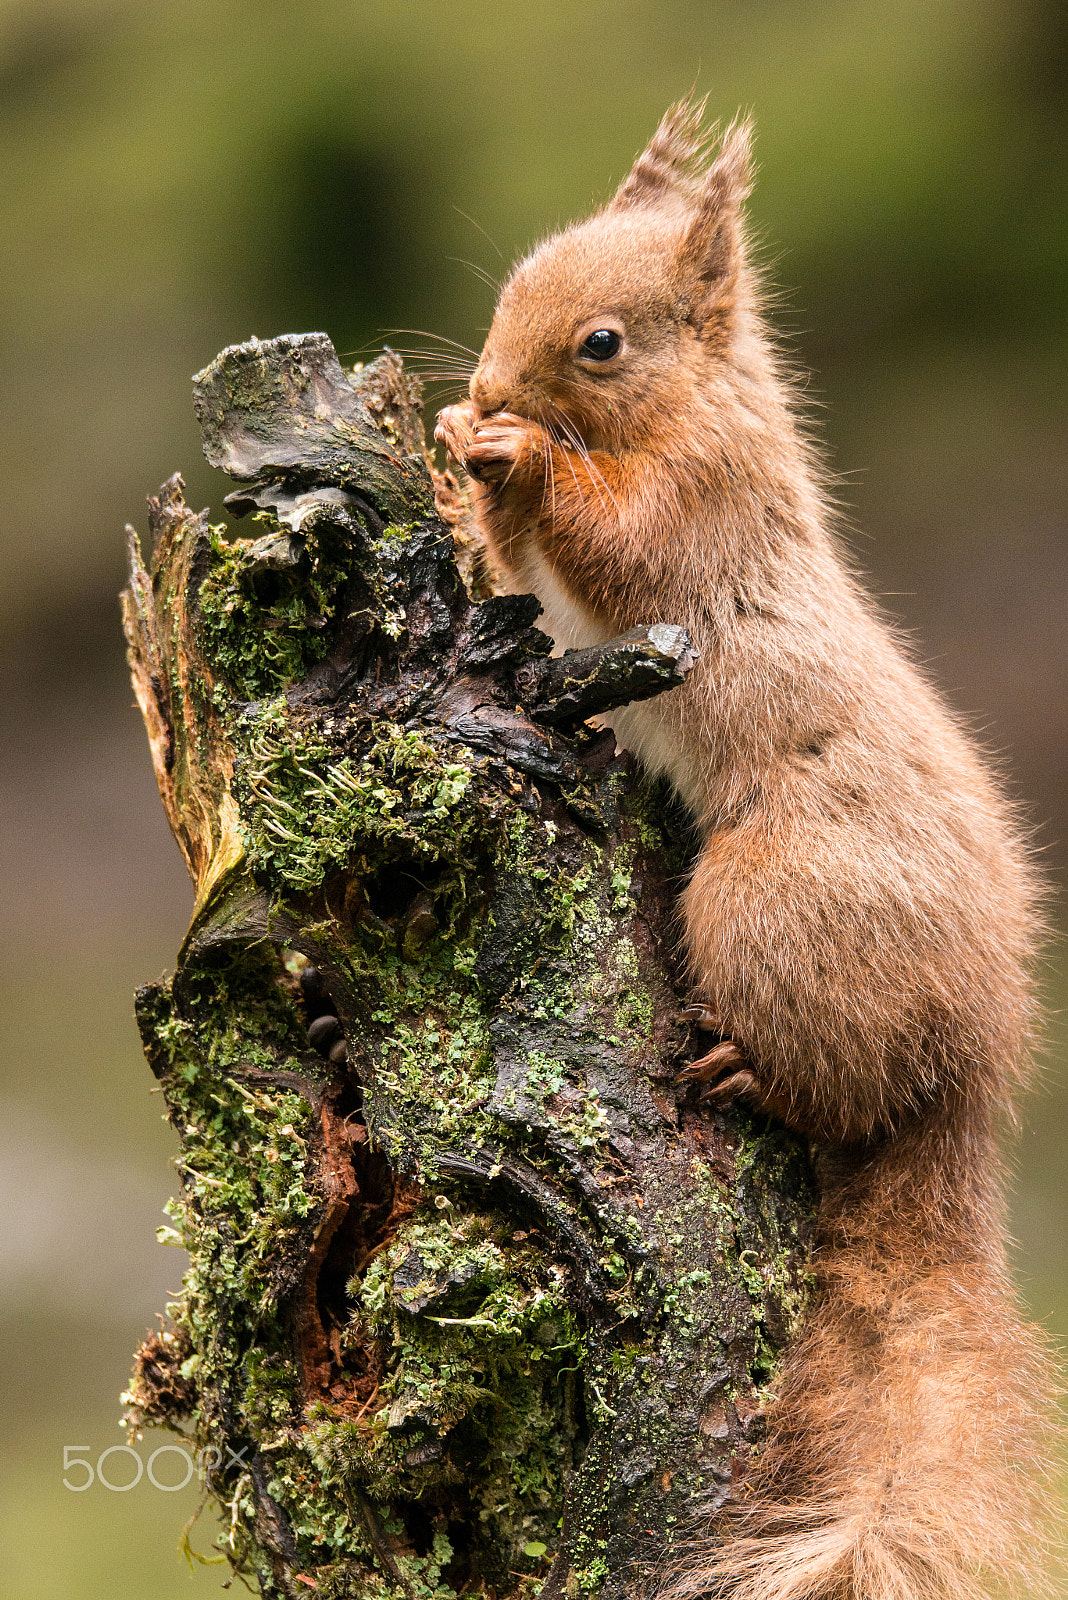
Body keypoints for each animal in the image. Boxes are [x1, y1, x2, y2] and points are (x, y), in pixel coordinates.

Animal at [434, 100, 1061, 1600]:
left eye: (603, 342)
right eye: (513, 282)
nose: (484, 377)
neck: (695, 406)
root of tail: (976, 1066)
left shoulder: (699, 514)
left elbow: (618, 545)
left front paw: (515, 456)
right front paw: (452, 436)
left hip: (770, 902)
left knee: (839, 1093)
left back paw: (750, 1072)